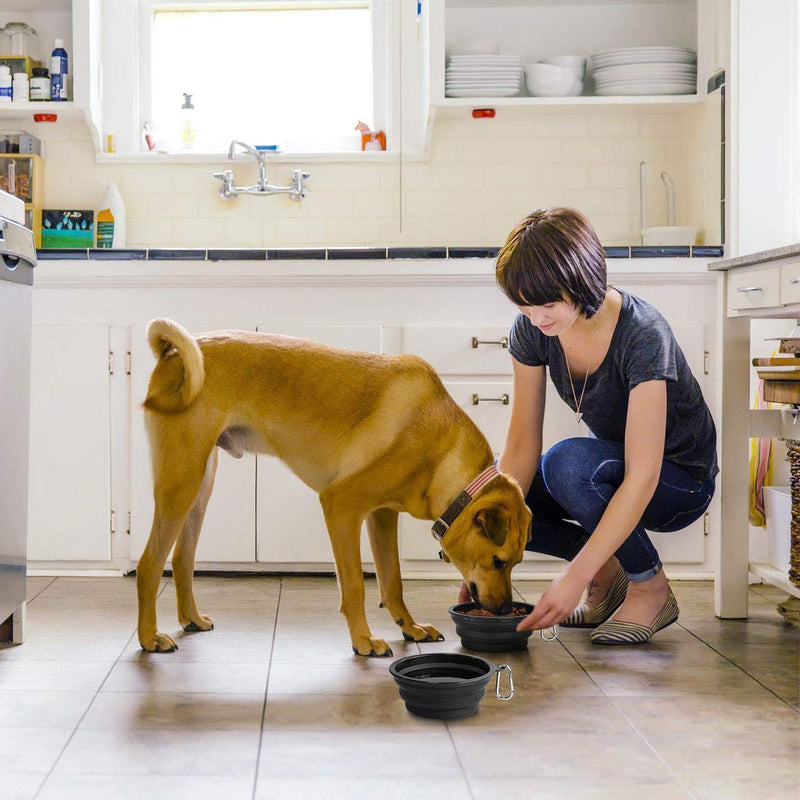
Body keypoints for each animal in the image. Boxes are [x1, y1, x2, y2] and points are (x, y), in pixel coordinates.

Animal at [139, 318, 532, 656]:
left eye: (516, 563)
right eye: (498, 561)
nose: (504, 610)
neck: (440, 449)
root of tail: (172, 353)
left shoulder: (382, 517)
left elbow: (393, 581)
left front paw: (411, 628)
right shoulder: (341, 507)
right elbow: (356, 585)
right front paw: (364, 641)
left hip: (200, 485)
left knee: (182, 558)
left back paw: (191, 619)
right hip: (181, 484)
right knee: (149, 565)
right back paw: (149, 637)